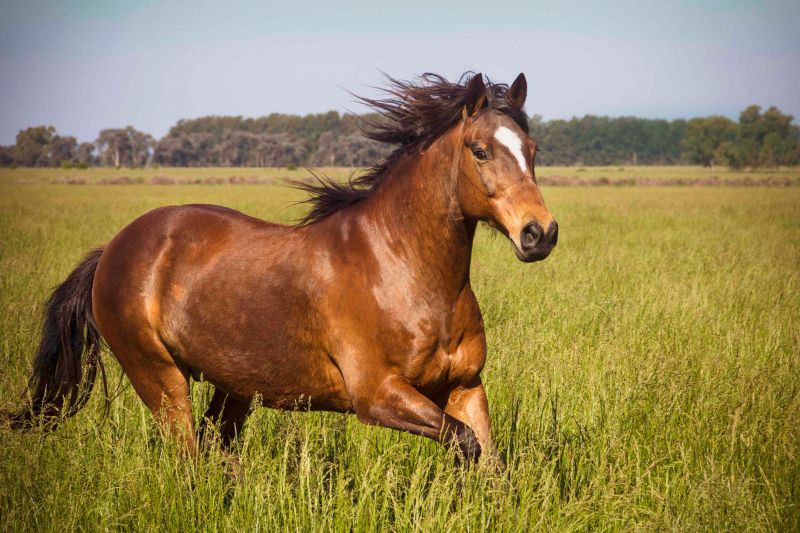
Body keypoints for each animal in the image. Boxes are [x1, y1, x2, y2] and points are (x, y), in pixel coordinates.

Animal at [3, 72, 557, 464]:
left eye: (532, 150)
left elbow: (489, 459)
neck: (404, 272)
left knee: (215, 453)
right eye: (480, 151)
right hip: (160, 380)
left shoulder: (464, 386)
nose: (540, 234)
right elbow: (465, 445)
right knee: (187, 460)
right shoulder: (378, 396)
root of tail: (112, 251)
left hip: (232, 388)